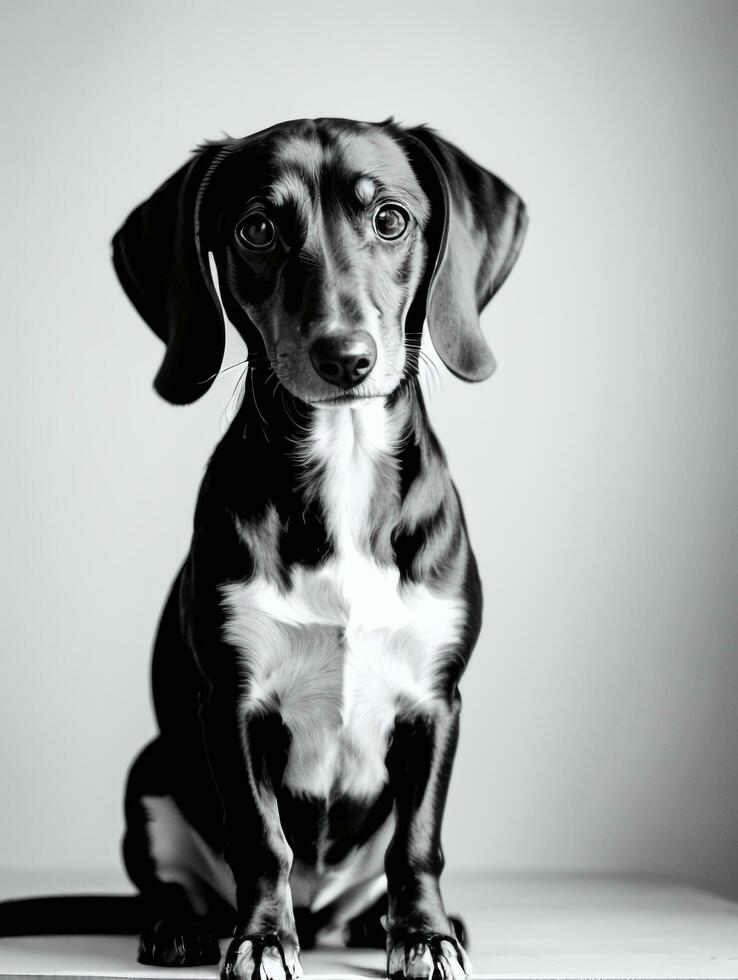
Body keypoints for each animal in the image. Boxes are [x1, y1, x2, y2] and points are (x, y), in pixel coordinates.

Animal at [0, 117, 528, 980]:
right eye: (256, 229)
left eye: (390, 219)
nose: (345, 357)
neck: (344, 468)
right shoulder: (233, 701)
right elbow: (261, 838)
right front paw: (262, 939)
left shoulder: (435, 700)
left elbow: (418, 843)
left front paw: (422, 934)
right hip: (151, 772)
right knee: (178, 885)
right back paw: (182, 926)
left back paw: (376, 921)